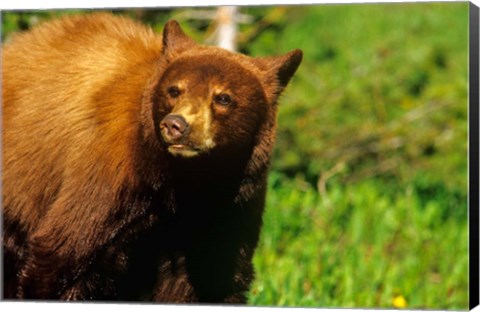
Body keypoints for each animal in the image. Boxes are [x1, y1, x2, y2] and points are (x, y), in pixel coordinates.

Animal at [1, 13, 304, 304]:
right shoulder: (109, 176)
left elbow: (218, 277)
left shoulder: (233, 202)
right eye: (174, 90)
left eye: (223, 97)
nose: (176, 125)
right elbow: (65, 252)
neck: (186, 181)